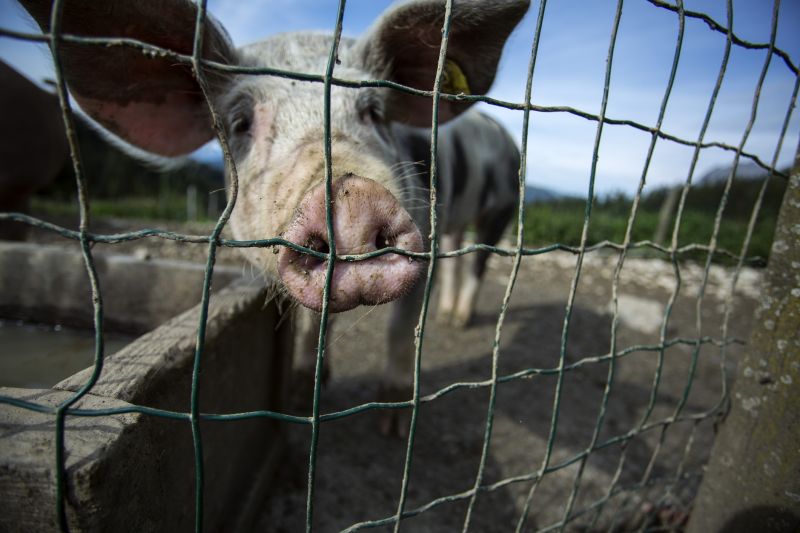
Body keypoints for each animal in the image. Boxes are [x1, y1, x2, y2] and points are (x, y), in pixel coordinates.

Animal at [16, 0, 529, 435]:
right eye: (240, 123)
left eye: (375, 112)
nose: (353, 199)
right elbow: (310, 328)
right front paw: (302, 396)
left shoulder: (425, 230)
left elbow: (401, 332)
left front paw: (394, 428)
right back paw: (449, 317)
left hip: (505, 205)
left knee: (479, 261)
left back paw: (458, 323)